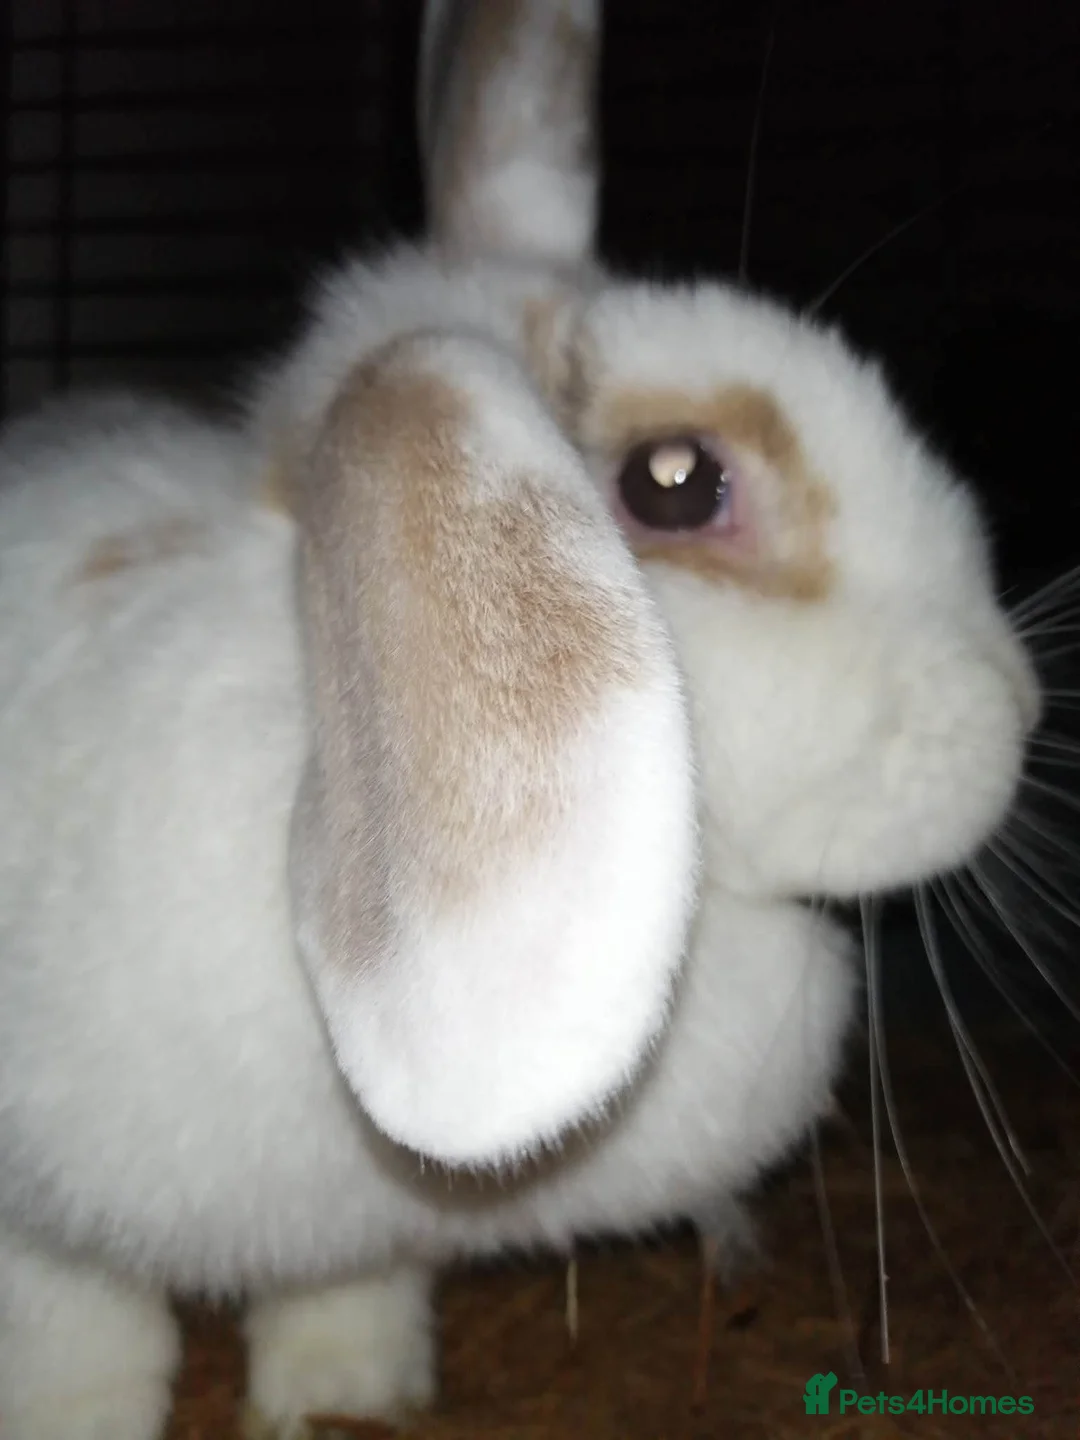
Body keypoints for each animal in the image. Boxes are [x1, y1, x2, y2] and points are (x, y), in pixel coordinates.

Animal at [0, 1, 1040, 1436]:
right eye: (676, 481)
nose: (1017, 711)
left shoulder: (361, 1241)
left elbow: (344, 1303)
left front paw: (346, 1403)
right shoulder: (36, 1217)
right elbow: (74, 1332)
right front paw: (74, 1415)